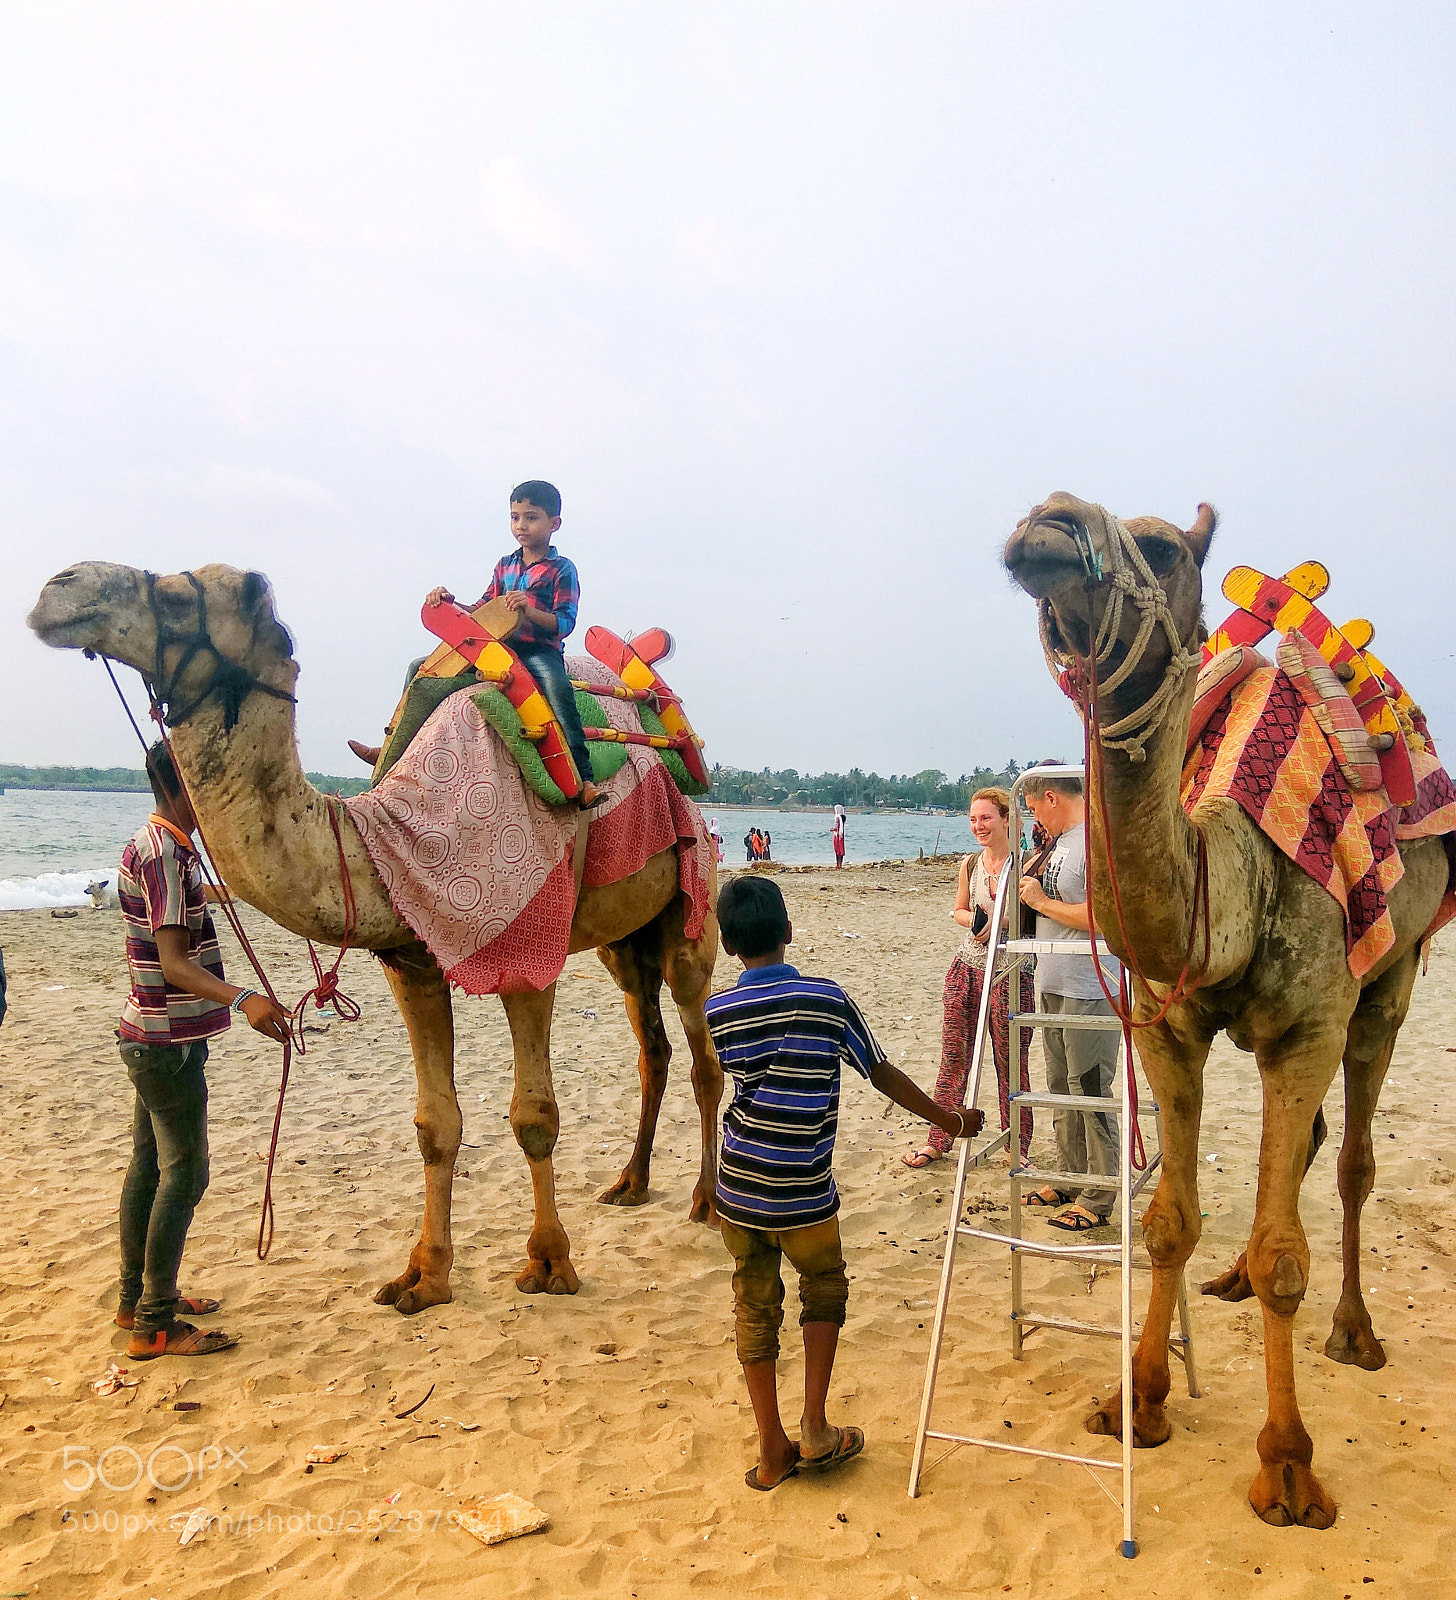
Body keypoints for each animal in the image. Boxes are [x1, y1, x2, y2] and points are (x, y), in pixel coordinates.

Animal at [28, 562, 723, 1312]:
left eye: (179, 595)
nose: (56, 589)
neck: (390, 834)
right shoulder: (410, 960)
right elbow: (434, 1124)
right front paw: (423, 1276)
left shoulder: (526, 946)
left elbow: (534, 1116)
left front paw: (548, 1264)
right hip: (623, 941)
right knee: (651, 1047)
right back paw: (630, 1182)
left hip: (693, 902)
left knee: (703, 1052)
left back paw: (707, 1203)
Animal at [1003, 494, 1451, 1529]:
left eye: (1162, 548)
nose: (1048, 522)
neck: (1234, 869)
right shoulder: (1167, 1024)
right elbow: (1169, 1220)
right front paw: (1136, 1400)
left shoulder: (1314, 1023)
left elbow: (1291, 1248)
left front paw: (1287, 1468)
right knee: (1304, 1149)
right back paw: (1235, 1278)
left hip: (1395, 974)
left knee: (1355, 1158)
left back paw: (1354, 1333)